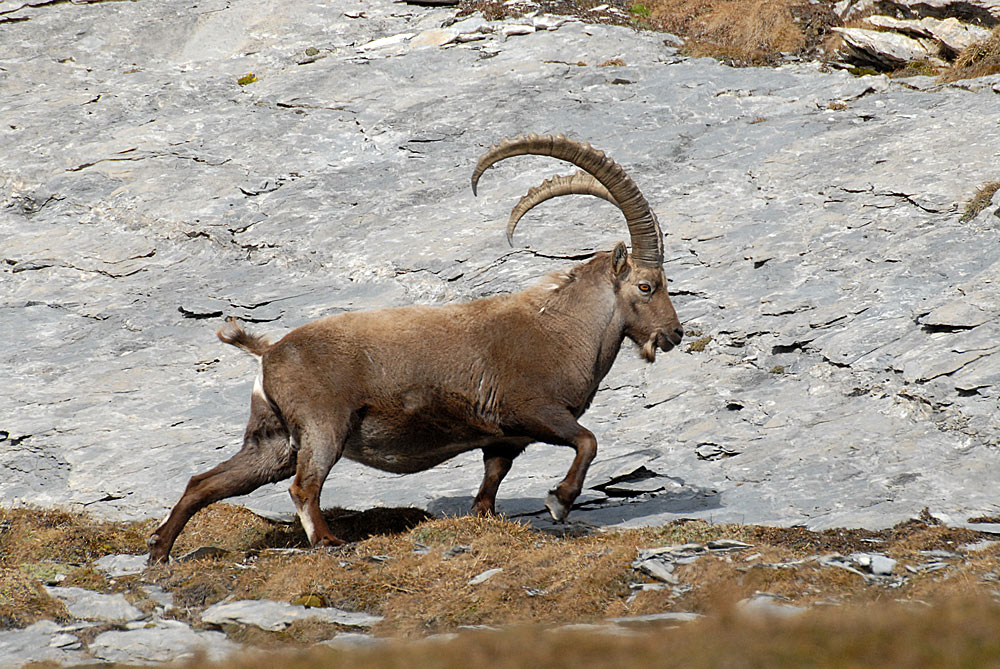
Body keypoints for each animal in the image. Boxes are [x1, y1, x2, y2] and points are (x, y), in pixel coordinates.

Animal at [147, 133, 684, 563]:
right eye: (647, 286)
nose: (673, 335)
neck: (562, 330)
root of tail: (269, 353)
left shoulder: (502, 439)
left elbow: (489, 487)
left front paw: (487, 518)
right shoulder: (533, 410)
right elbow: (588, 441)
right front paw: (559, 501)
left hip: (273, 440)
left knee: (205, 482)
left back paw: (159, 550)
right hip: (324, 426)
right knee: (304, 485)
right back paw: (328, 542)